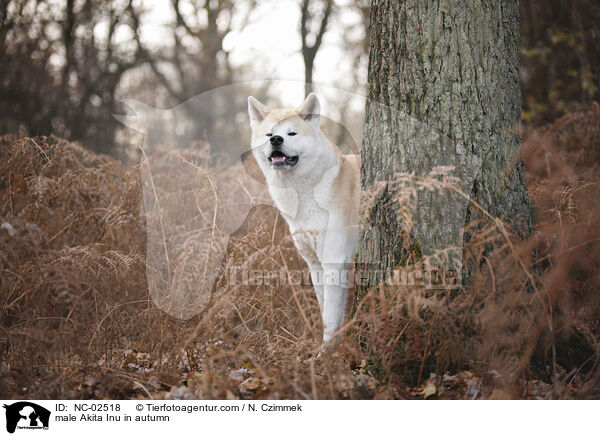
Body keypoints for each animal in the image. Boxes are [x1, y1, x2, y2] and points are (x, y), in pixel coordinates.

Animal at [247, 93, 358, 342]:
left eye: (291, 134)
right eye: (269, 134)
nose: (276, 139)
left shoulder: (333, 261)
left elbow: (331, 316)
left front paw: (327, 350)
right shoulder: (314, 262)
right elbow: (326, 310)